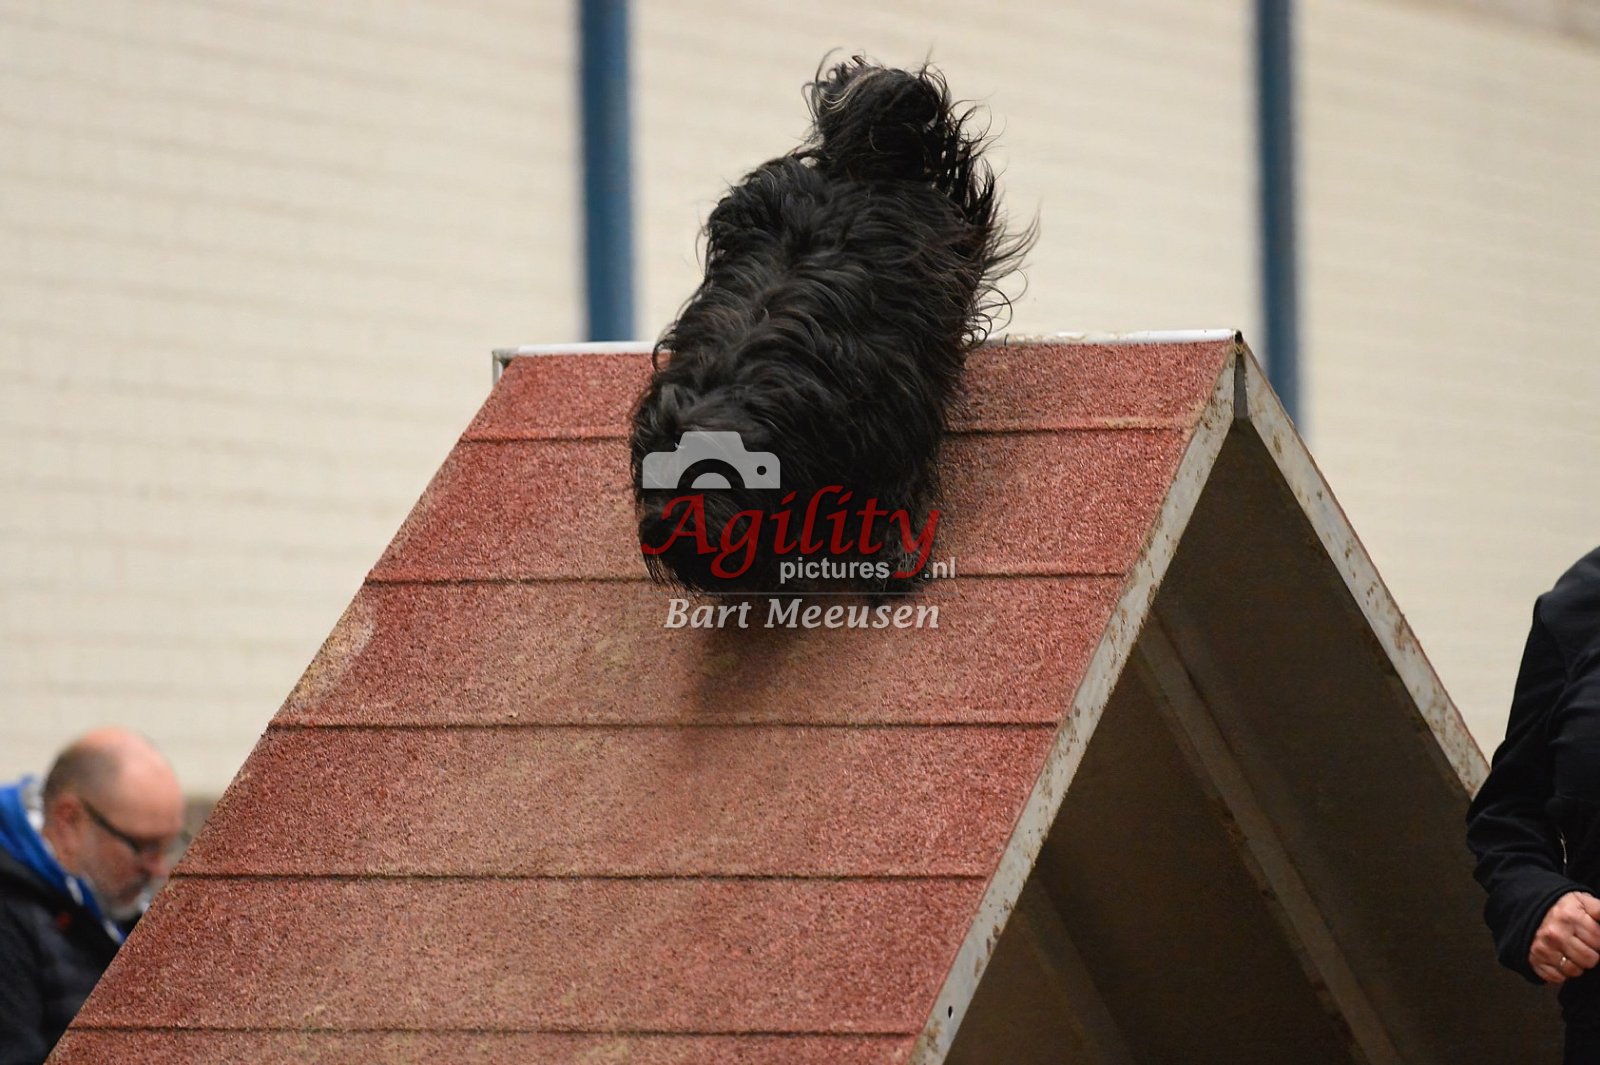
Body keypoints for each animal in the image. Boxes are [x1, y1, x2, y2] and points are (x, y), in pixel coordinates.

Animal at [630, 57, 1028, 594]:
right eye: (651, 468)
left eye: (709, 472)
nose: (665, 528)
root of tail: (856, 169)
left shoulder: (892, 413)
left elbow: (895, 486)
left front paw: (891, 558)